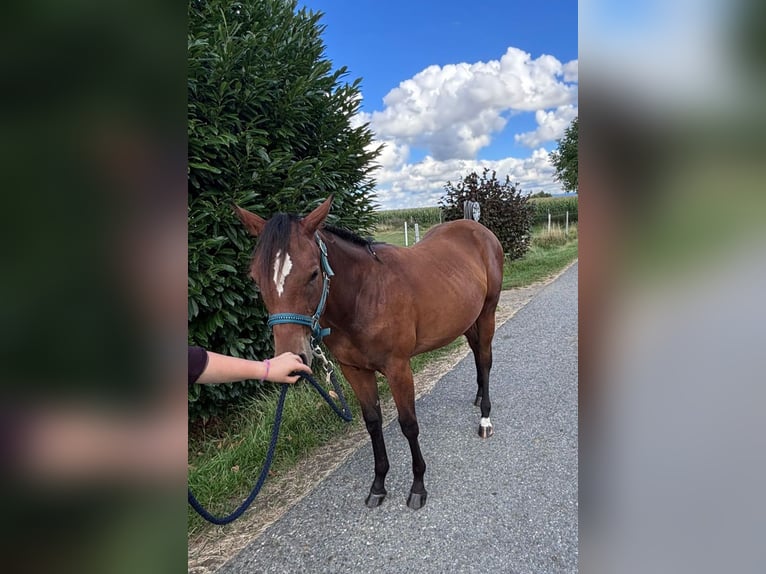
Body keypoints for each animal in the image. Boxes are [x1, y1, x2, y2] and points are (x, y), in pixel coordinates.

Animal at [234, 196, 504, 510]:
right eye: (256, 278)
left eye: (313, 273)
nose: (292, 361)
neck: (365, 296)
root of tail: (476, 228)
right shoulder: (355, 371)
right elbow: (373, 423)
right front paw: (378, 485)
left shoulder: (399, 368)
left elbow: (408, 424)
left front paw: (418, 486)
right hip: (467, 318)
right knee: (476, 355)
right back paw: (478, 397)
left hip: (487, 313)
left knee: (485, 359)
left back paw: (485, 419)